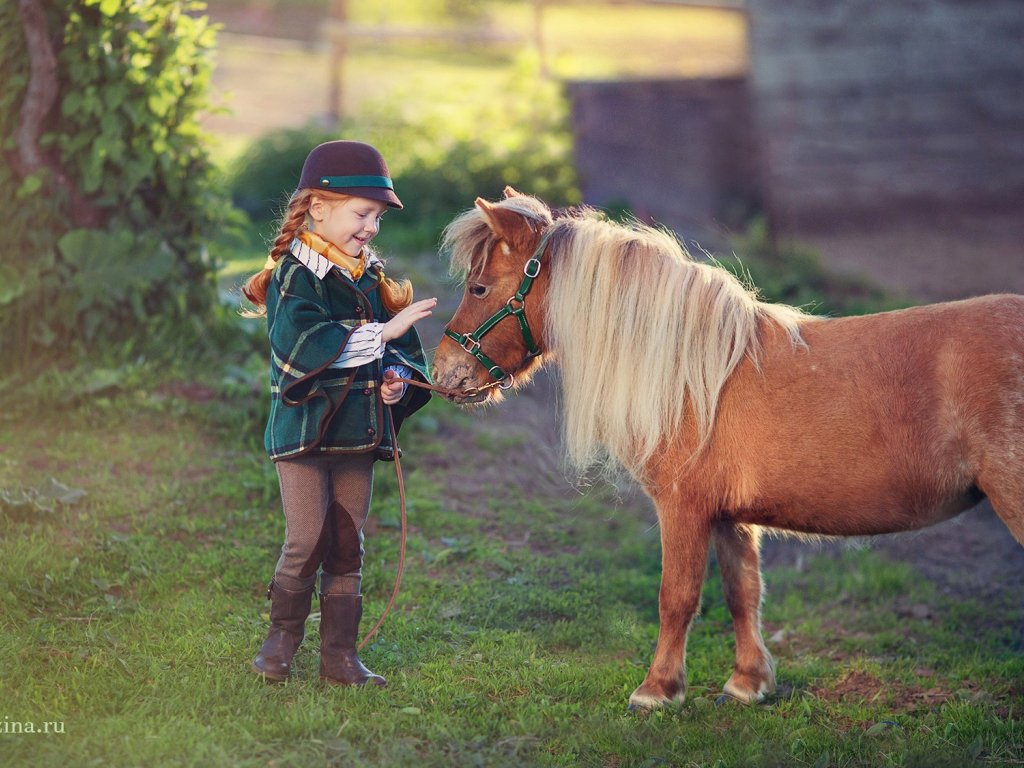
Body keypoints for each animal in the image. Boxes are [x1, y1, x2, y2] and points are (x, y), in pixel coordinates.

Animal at [432, 189, 1024, 712]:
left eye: (479, 288)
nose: (443, 373)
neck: (692, 374)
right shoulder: (730, 517)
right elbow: (744, 593)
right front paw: (748, 683)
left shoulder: (683, 508)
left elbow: (677, 597)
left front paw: (657, 691)